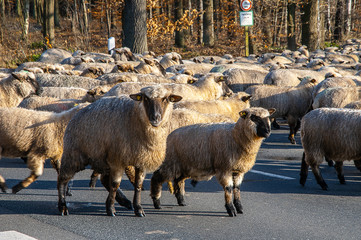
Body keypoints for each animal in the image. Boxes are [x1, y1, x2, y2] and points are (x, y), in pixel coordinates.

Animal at [58, 85, 183, 217]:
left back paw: (125, 202)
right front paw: (111, 209)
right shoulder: (117, 160)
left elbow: (138, 185)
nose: (155, 117)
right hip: (73, 154)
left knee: (104, 179)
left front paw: (138, 208)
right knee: (62, 179)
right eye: (145, 98)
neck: (135, 116)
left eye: (166, 99)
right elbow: (115, 184)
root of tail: (76, 115)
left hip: (101, 159)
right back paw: (63, 207)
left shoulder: (141, 160)